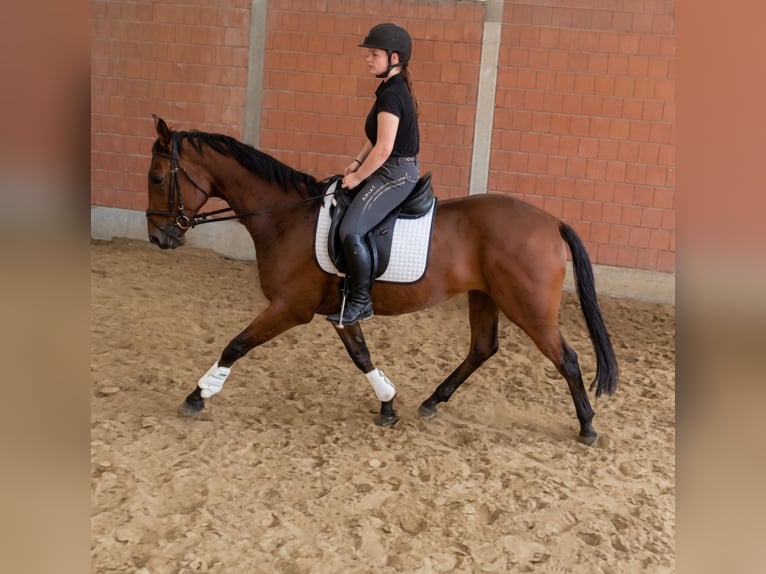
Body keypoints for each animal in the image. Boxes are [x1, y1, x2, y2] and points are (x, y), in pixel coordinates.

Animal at [145, 115, 618, 445]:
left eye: (156, 177)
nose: (157, 238)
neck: (286, 217)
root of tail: (552, 221)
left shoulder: (289, 308)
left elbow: (236, 344)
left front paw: (197, 395)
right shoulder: (340, 309)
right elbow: (361, 355)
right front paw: (388, 403)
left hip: (529, 308)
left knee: (566, 359)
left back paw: (587, 427)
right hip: (484, 296)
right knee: (483, 348)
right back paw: (432, 401)